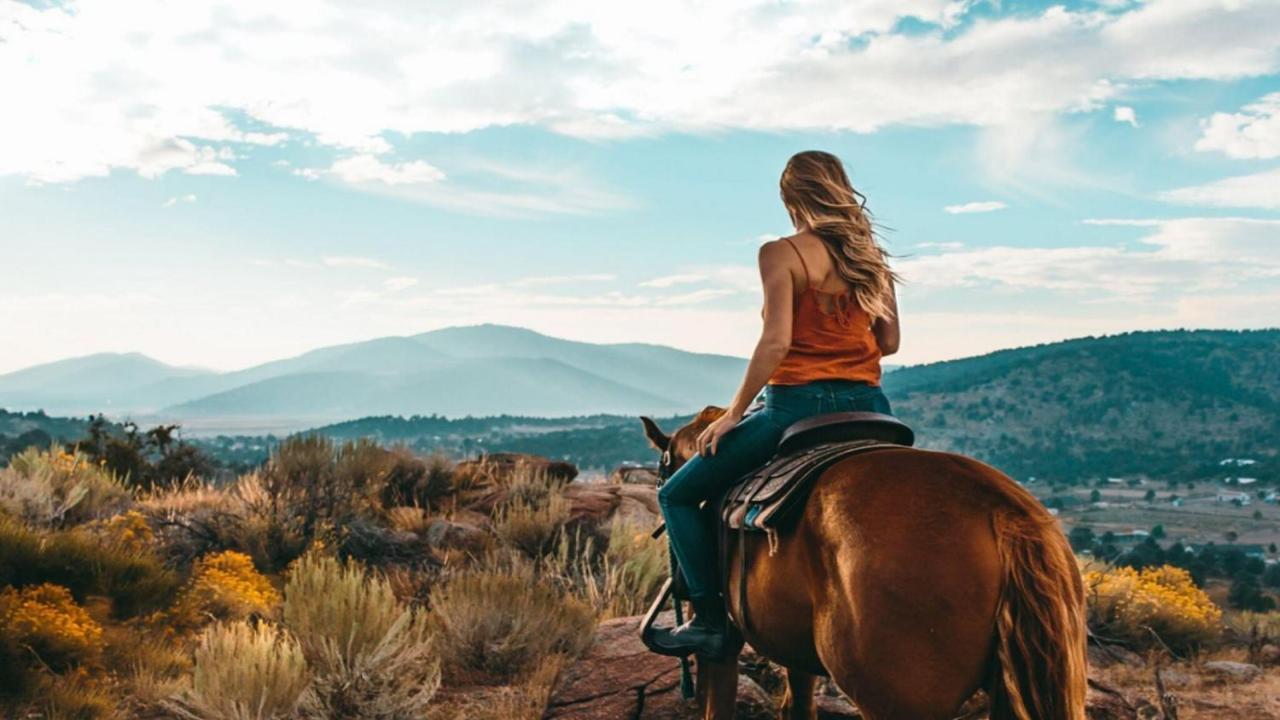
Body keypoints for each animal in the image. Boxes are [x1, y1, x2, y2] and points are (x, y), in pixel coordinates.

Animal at [645, 409, 1085, 717]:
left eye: (663, 474)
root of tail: (1004, 510)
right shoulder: (795, 647)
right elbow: (798, 707)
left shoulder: (723, 644)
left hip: (897, 701)